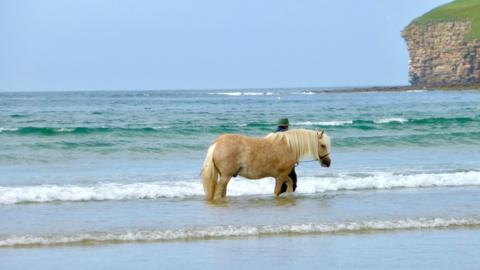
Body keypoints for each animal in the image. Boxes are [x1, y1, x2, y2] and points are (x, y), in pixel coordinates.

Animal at [201, 129, 332, 200]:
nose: (328, 162)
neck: (289, 146)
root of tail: (216, 144)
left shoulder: (280, 176)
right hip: (225, 176)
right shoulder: (280, 176)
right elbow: (277, 191)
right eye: (323, 145)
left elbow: (290, 183)